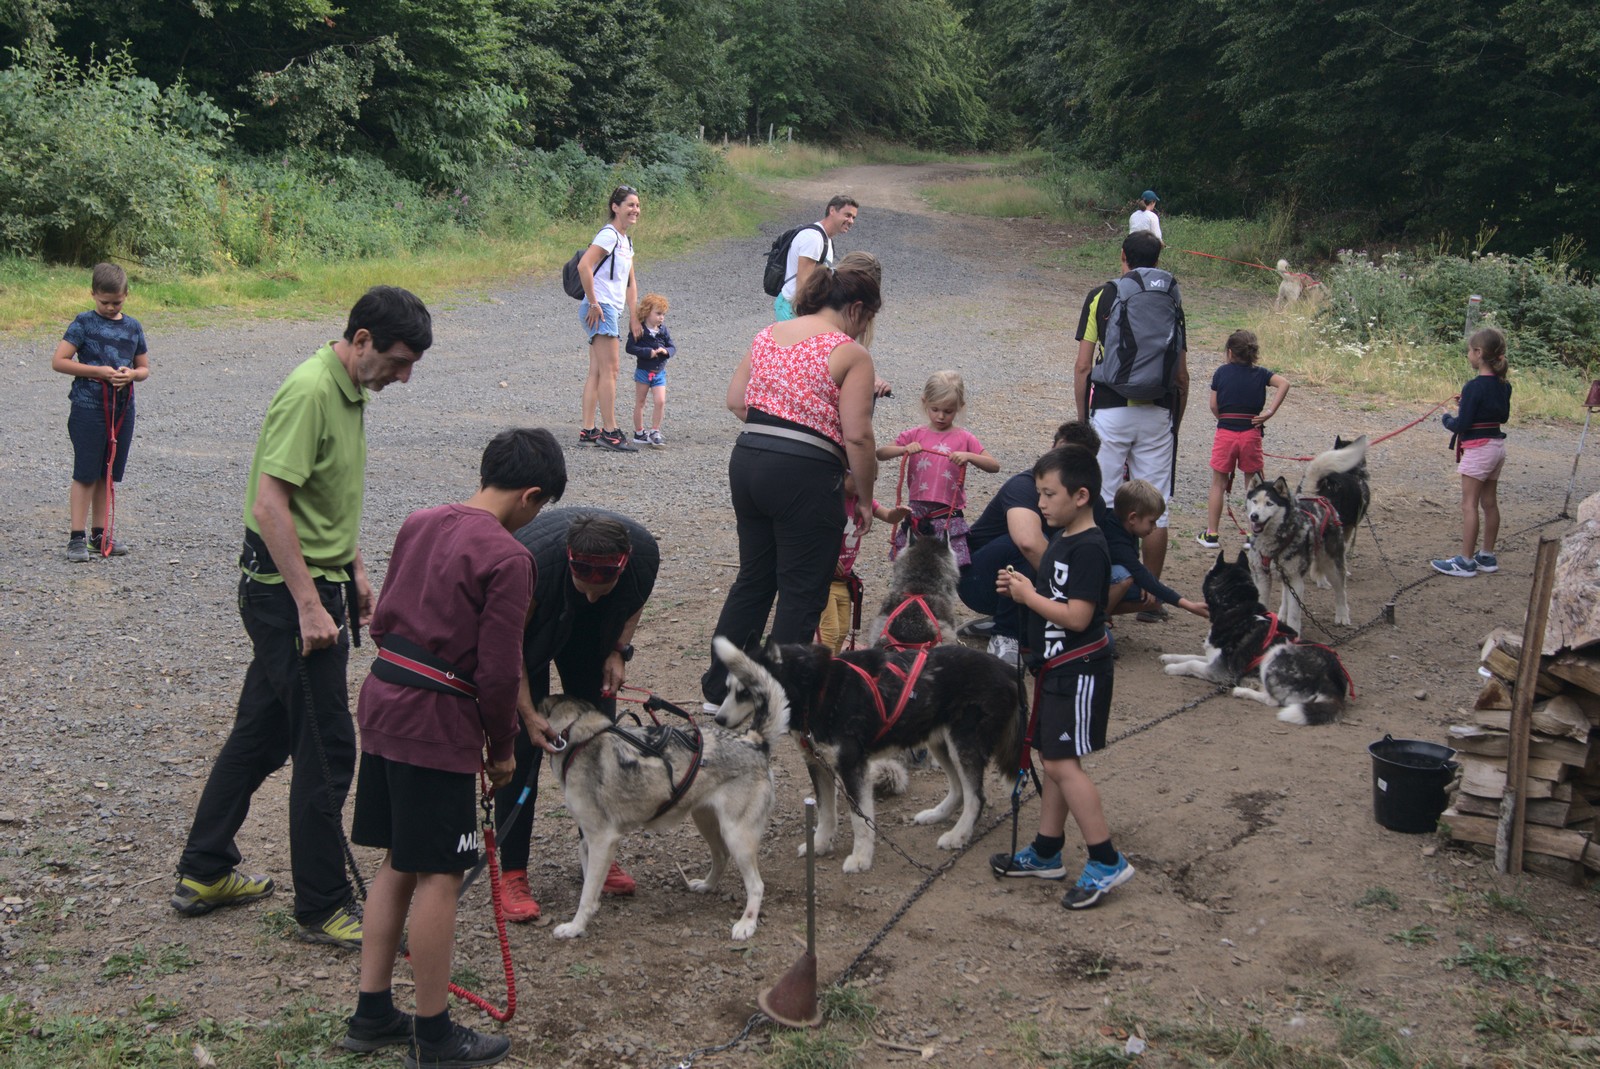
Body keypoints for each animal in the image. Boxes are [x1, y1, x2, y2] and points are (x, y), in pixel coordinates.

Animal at [540, 694, 784, 934]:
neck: (577, 739)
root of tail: (754, 741)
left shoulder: (602, 839)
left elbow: (587, 893)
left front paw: (575, 927)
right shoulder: (588, 840)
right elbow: (588, 880)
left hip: (737, 836)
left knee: (756, 885)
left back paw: (747, 923)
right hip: (705, 821)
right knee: (722, 856)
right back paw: (706, 886)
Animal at [1164, 550, 1350, 726]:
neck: (1237, 606)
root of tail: (1333, 682)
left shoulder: (1219, 670)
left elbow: (1192, 663)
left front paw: (1172, 668)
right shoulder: (1214, 658)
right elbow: (1190, 656)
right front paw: (1168, 657)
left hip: (1275, 653)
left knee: (1273, 701)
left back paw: (1242, 691)